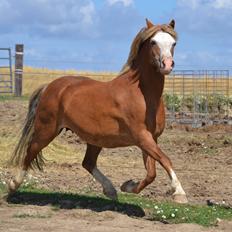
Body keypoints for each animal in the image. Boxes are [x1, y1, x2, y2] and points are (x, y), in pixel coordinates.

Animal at [8, 19, 188, 203]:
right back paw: (13, 185)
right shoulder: (142, 137)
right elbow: (165, 159)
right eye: (153, 42)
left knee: (88, 162)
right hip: (46, 130)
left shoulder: (151, 139)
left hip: (95, 139)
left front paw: (127, 186)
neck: (142, 95)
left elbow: (151, 173)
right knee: (30, 151)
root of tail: (49, 87)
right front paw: (179, 193)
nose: (167, 65)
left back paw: (110, 190)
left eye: (173, 43)